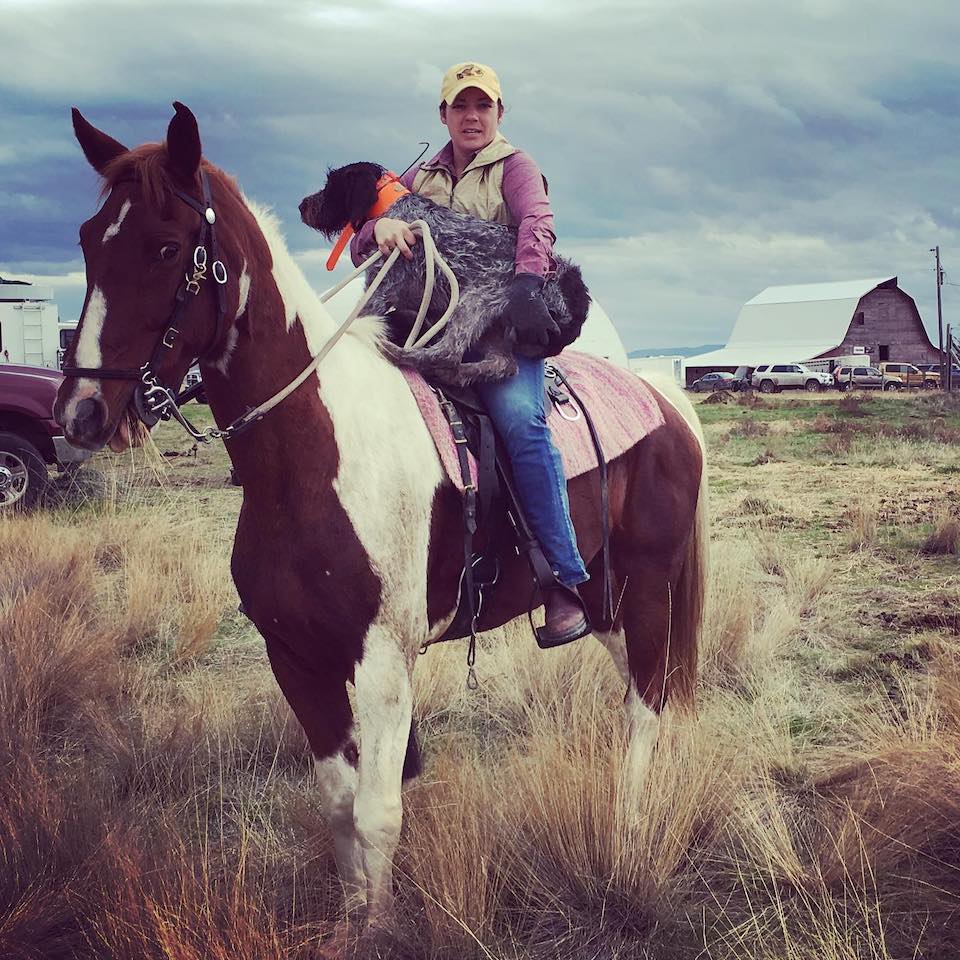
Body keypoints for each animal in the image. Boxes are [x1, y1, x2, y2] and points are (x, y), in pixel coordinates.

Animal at [298, 163, 592, 384]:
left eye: (331, 185)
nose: (302, 205)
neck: (395, 211)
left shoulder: (380, 288)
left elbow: (360, 320)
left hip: (477, 299)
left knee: (447, 353)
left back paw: (395, 351)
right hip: (495, 325)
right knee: (503, 365)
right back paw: (457, 374)